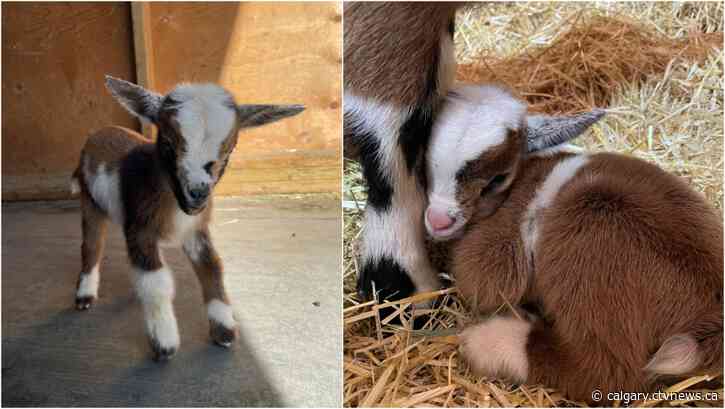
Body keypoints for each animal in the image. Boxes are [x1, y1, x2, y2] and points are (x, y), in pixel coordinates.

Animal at [71, 76, 304, 360]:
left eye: (230, 150)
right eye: (168, 144)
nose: (198, 193)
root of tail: (99, 132)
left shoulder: (195, 230)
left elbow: (212, 265)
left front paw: (224, 330)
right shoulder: (140, 227)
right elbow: (156, 280)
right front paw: (165, 342)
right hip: (90, 200)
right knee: (92, 244)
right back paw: (85, 295)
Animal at [424, 83, 723, 403]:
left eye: (497, 179)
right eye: (422, 166)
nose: (438, 220)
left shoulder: (499, 251)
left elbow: (482, 283)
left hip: (592, 237)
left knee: (605, 370)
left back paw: (489, 342)